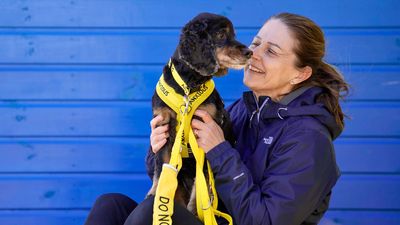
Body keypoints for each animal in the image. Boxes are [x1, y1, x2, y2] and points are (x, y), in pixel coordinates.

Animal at [148, 13, 253, 214]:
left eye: (233, 34)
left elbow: (202, 175)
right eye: (221, 35)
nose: (249, 52)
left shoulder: (204, 128)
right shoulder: (162, 123)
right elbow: (161, 162)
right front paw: (156, 193)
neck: (189, 85)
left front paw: (197, 208)